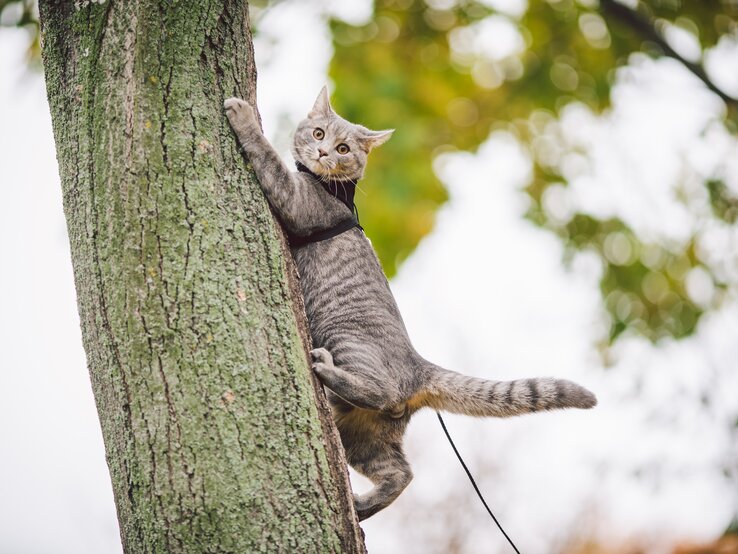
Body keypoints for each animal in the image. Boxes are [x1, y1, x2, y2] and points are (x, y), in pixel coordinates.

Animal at [221, 88, 596, 520]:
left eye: (343, 148)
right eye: (318, 133)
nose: (323, 152)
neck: (330, 188)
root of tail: (418, 366)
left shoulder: (296, 201)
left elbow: (268, 157)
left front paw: (243, 116)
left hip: (347, 341)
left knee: (381, 392)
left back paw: (327, 370)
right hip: (363, 436)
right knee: (401, 473)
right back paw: (362, 505)